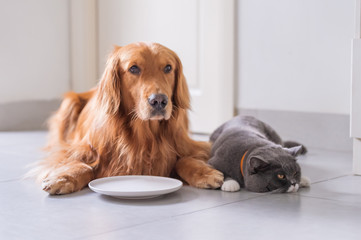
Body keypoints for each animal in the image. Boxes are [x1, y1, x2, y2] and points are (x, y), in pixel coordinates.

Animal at [34, 42, 225, 194]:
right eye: (133, 68)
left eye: (168, 68)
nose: (159, 100)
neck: (144, 135)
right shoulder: (75, 150)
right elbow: (82, 165)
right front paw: (64, 178)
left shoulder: (190, 146)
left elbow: (184, 159)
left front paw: (205, 173)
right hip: (70, 103)